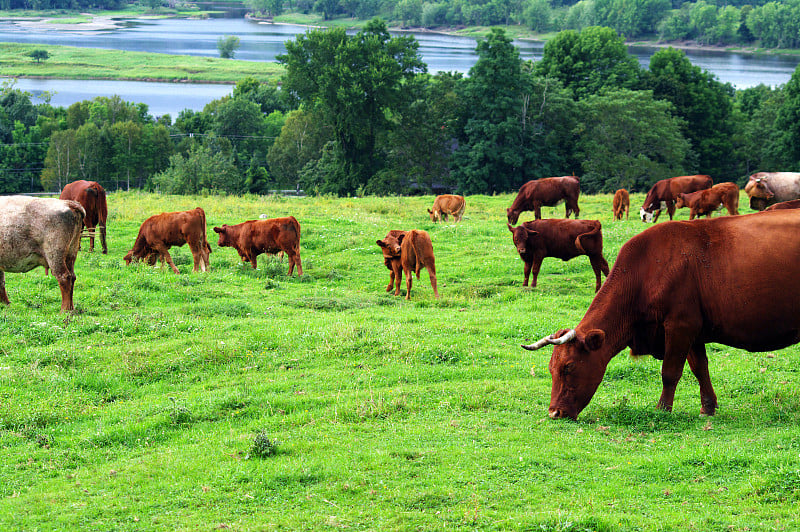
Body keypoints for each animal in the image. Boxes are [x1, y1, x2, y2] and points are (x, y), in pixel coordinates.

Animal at [520, 210, 800, 422]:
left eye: (568, 367)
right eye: (551, 368)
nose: (554, 413)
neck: (646, 270)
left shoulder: (679, 326)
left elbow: (670, 372)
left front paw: (662, 409)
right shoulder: (694, 331)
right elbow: (700, 369)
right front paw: (707, 407)